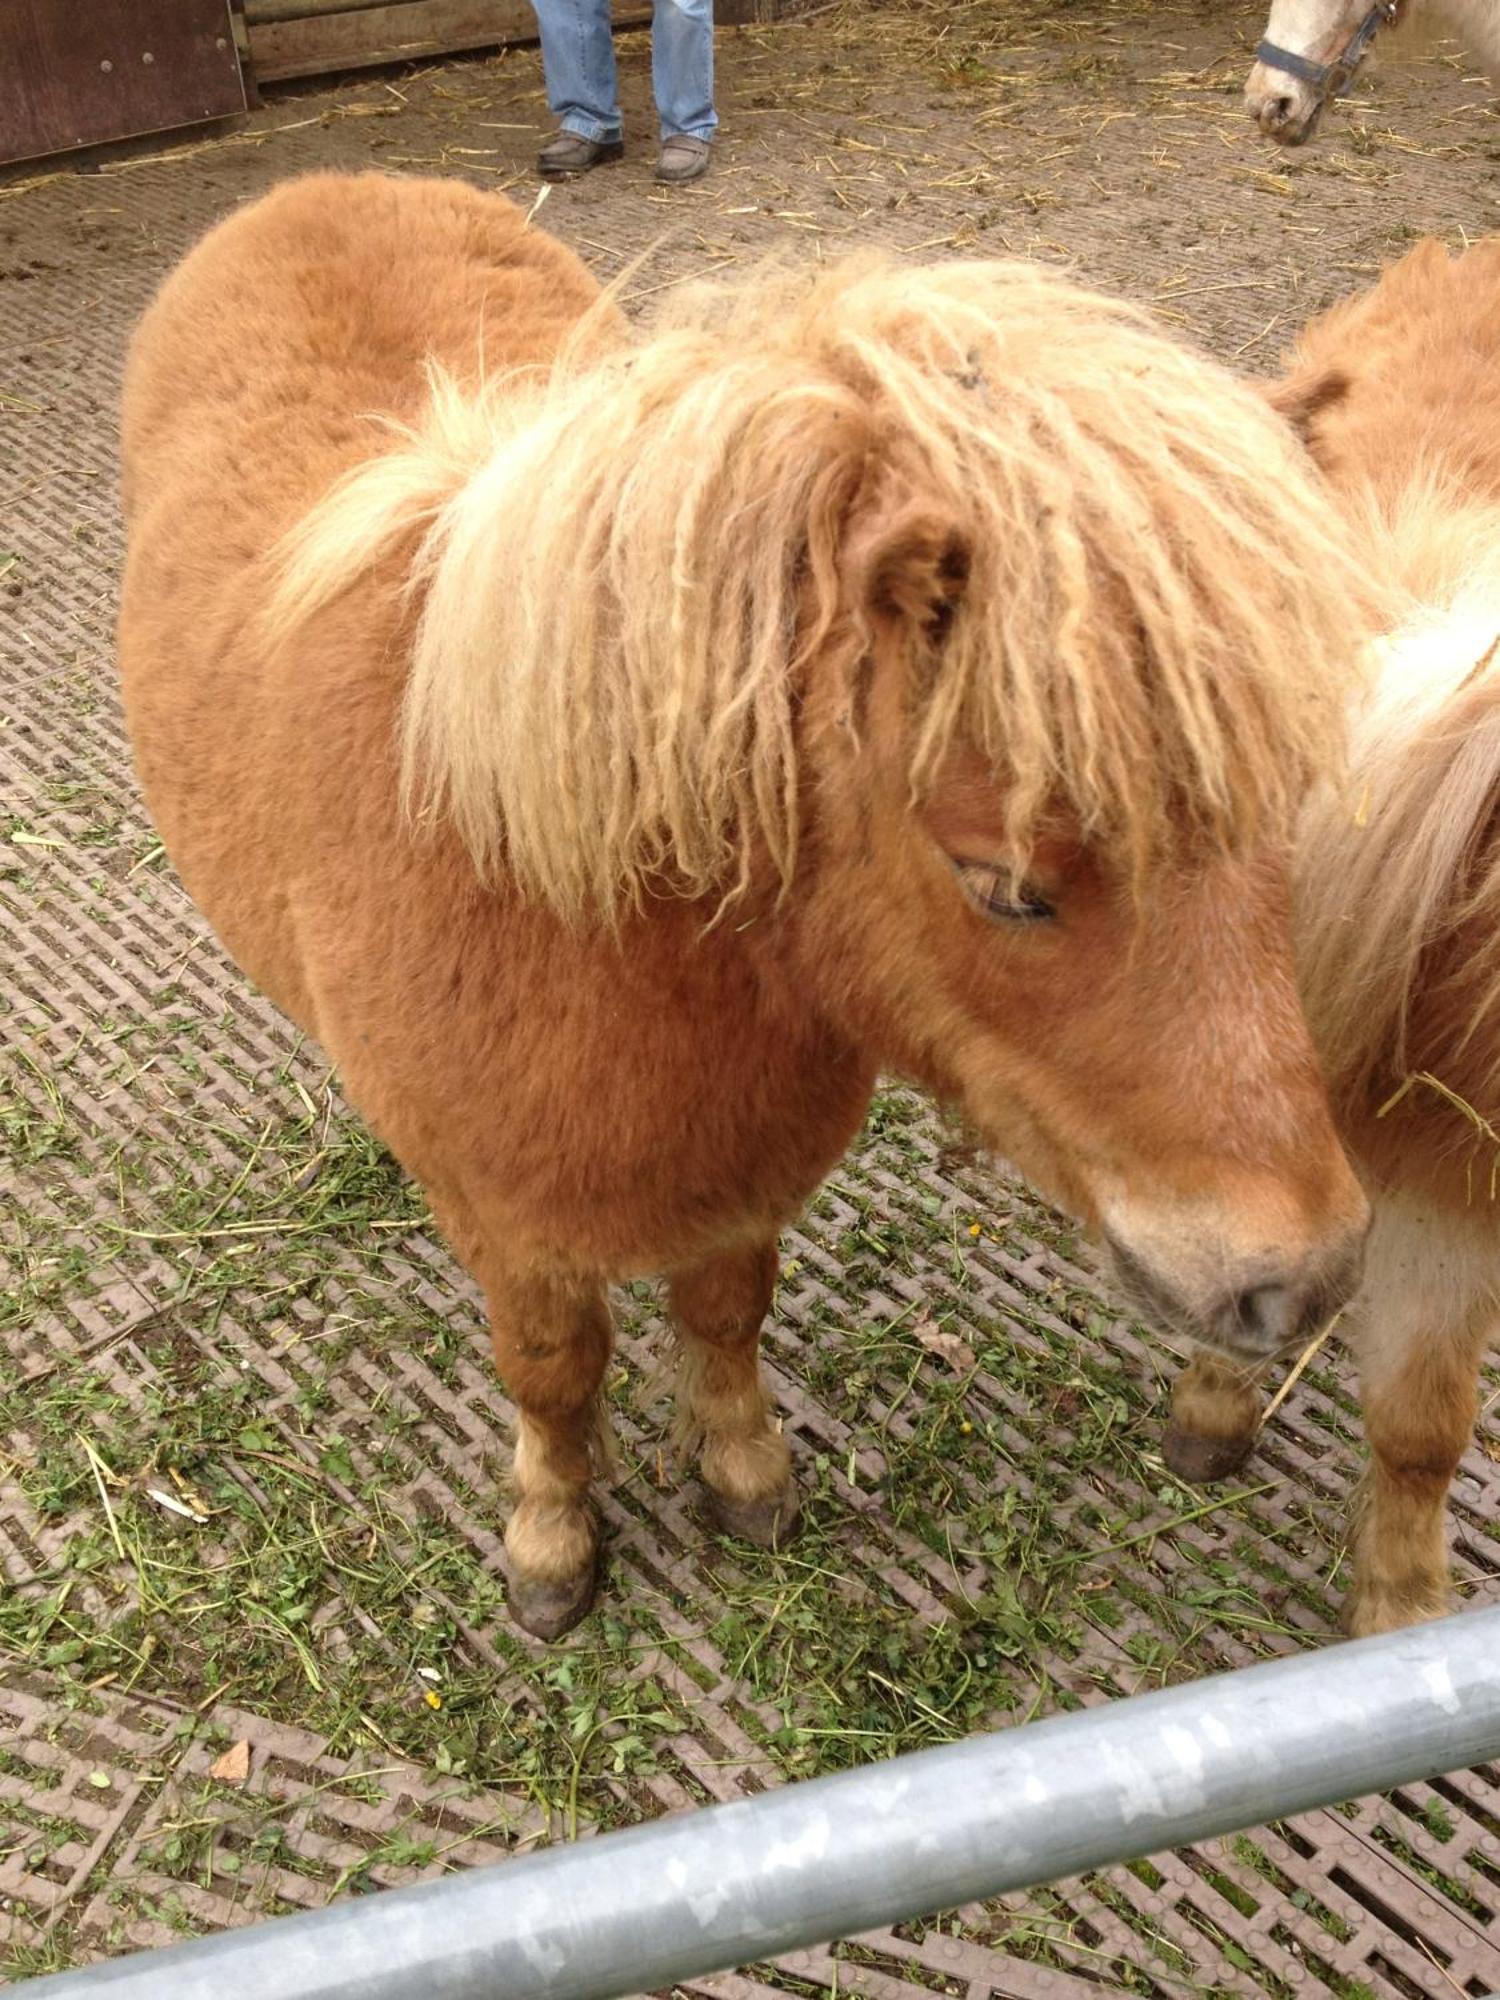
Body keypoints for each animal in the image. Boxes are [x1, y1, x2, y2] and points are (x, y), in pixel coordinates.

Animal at [123, 176, 1384, 1640]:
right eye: (1006, 888)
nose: (1303, 1274)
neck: (554, 895)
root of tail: (311, 189)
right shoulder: (517, 1236)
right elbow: (555, 1372)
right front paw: (550, 1541)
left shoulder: (740, 1187)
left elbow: (726, 1315)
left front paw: (743, 1476)